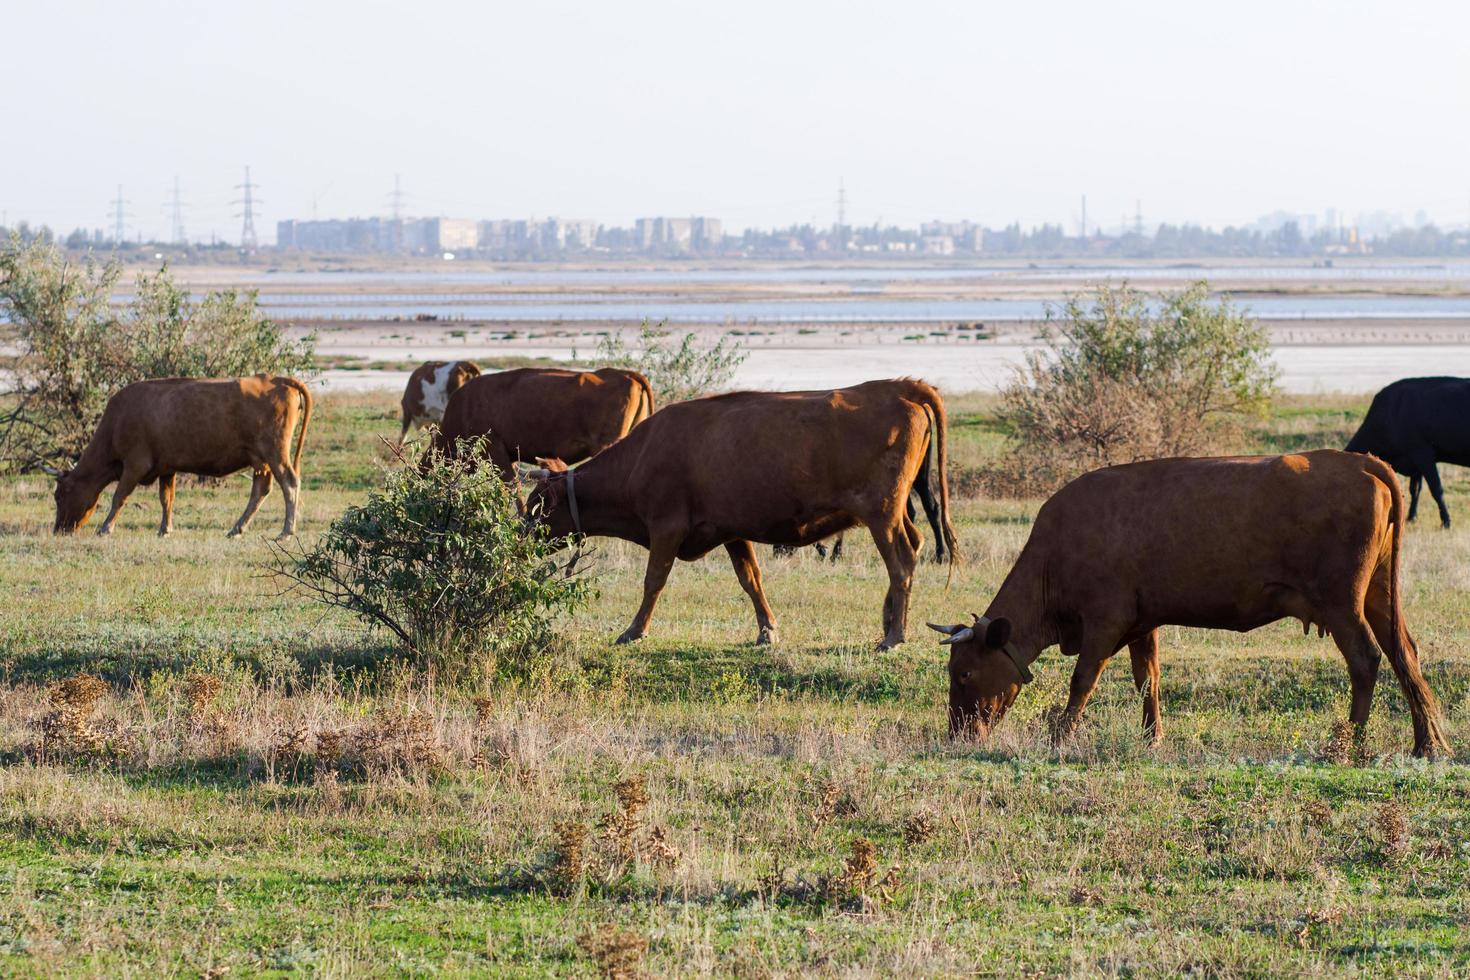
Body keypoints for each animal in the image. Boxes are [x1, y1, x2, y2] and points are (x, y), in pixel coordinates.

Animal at [52, 376, 313, 543]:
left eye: (60, 495)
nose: (58, 530)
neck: (117, 421)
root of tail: (275, 379)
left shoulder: (135, 466)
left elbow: (119, 497)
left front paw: (106, 528)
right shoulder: (167, 468)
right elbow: (166, 499)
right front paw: (164, 529)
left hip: (276, 454)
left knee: (289, 483)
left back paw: (286, 531)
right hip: (262, 460)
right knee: (261, 489)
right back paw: (236, 529)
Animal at [523, 382, 958, 652]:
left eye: (536, 505)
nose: (521, 538)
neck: (643, 456)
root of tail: (897, 386)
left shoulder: (666, 529)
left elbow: (652, 582)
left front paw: (633, 630)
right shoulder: (732, 531)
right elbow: (751, 580)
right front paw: (767, 630)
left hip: (881, 515)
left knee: (901, 562)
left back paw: (894, 635)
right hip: (893, 514)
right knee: (914, 545)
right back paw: (888, 620)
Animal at [929, 449, 1446, 758]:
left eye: (965, 674)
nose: (956, 736)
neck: (1055, 554)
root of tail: (1361, 461)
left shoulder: (1104, 621)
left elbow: (1083, 680)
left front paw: (1060, 736)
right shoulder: (1142, 623)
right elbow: (1148, 680)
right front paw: (1151, 738)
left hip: (1342, 605)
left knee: (1365, 659)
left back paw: (1349, 744)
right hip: (1379, 598)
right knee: (1405, 656)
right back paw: (1426, 745)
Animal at [1346, 379, 1470, 528]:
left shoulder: (1423, 454)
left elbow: (1436, 489)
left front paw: (1446, 521)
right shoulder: (1414, 461)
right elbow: (1415, 489)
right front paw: (1412, 517)